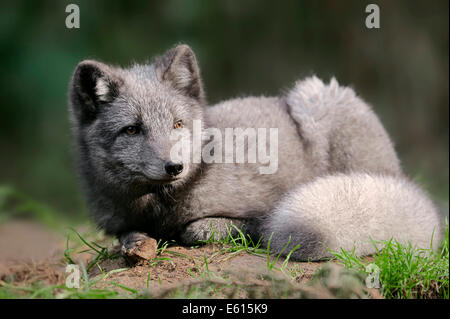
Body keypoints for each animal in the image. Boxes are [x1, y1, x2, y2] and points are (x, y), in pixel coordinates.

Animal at [69, 43, 442, 262]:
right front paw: (136, 242)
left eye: (177, 124)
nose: (174, 166)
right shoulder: (119, 221)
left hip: (315, 96)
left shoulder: (266, 205)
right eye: (132, 129)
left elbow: (208, 229)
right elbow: (126, 235)